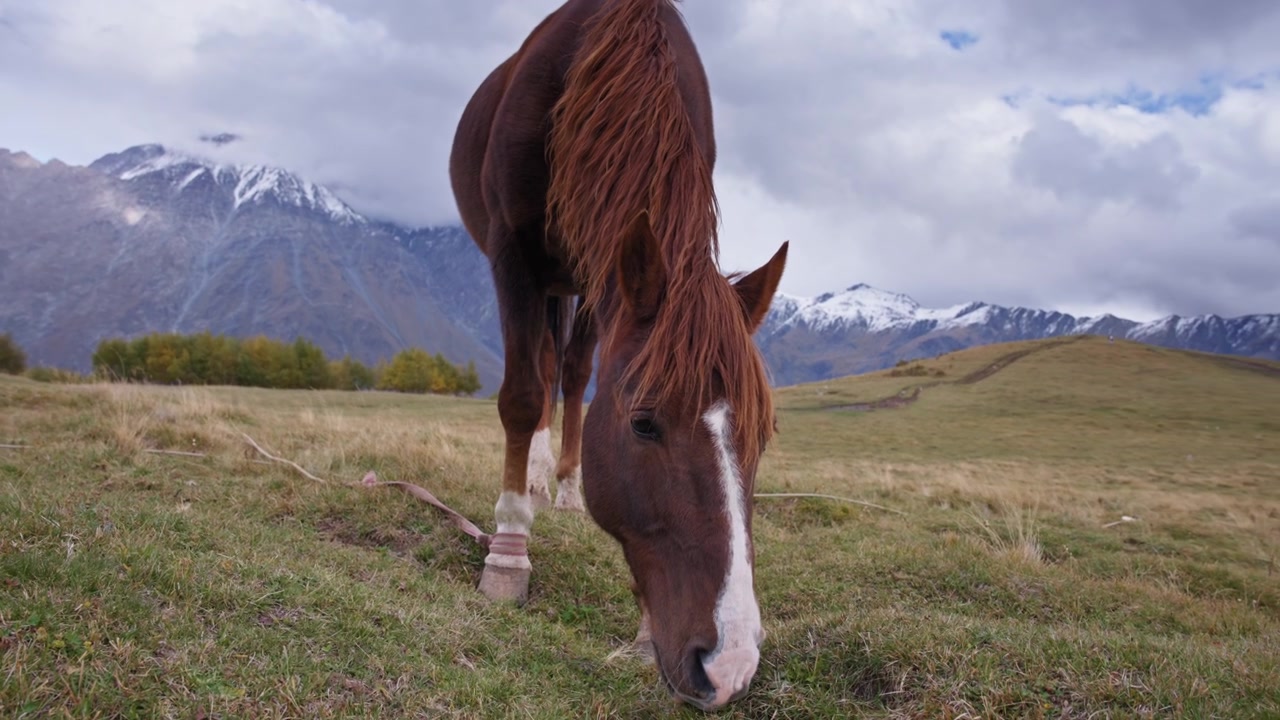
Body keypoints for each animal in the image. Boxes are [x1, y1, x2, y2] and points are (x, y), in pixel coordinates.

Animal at [449, 0, 788, 710]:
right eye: (644, 424)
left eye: (763, 437)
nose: (729, 665)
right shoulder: (514, 253)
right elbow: (522, 395)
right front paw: (508, 553)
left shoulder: (606, 266)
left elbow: (574, 376)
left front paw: (642, 628)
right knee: (541, 371)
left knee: (571, 371)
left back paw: (564, 488)